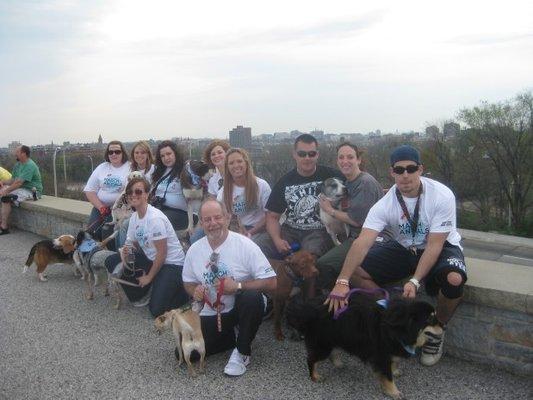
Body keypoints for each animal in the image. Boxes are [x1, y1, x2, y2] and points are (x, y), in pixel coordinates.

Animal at [284, 292, 442, 398]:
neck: (398, 326)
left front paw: (394, 372)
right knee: (311, 359)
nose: (444, 326)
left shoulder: (388, 354)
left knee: (332, 352)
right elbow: (387, 377)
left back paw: (337, 363)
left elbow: (390, 367)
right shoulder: (381, 356)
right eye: (430, 319)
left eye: (436, 315)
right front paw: (393, 392)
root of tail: (307, 309)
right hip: (323, 345)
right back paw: (315, 376)